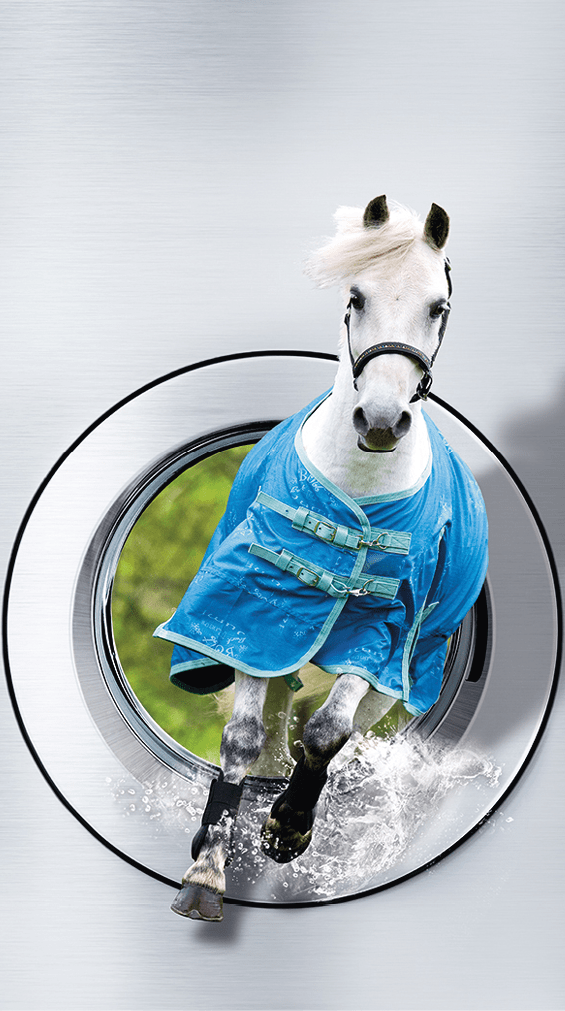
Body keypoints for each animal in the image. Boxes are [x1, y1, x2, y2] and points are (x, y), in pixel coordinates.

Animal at [156, 195, 489, 917]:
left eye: (438, 305)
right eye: (355, 296)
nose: (381, 421)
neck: (357, 493)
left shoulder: (382, 631)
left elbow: (327, 733)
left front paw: (288, 828)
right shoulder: (257, 617)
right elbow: (243, 740)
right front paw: (206, 871)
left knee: (342, 731)